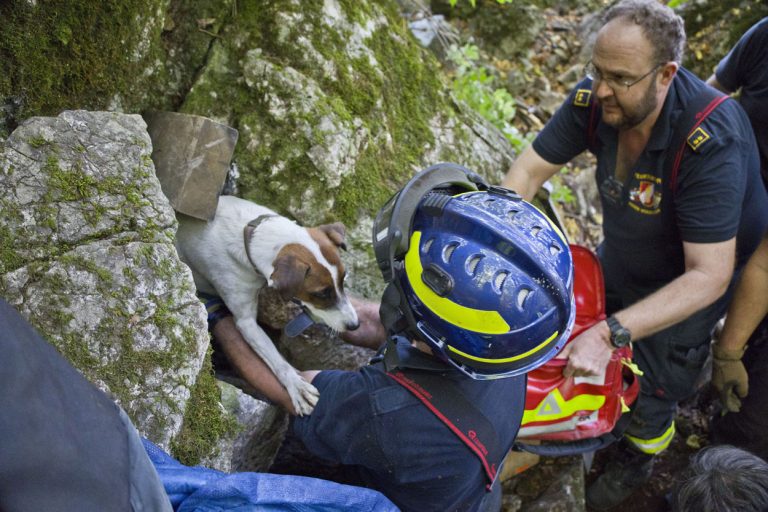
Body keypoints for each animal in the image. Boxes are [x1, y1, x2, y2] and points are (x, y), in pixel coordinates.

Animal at [177, 196, 360, 416]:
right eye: (321, 293)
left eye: (343, 279)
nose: (355, 325)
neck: (251, 236)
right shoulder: (246, 323)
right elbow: (278, 361)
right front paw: (296, 386)